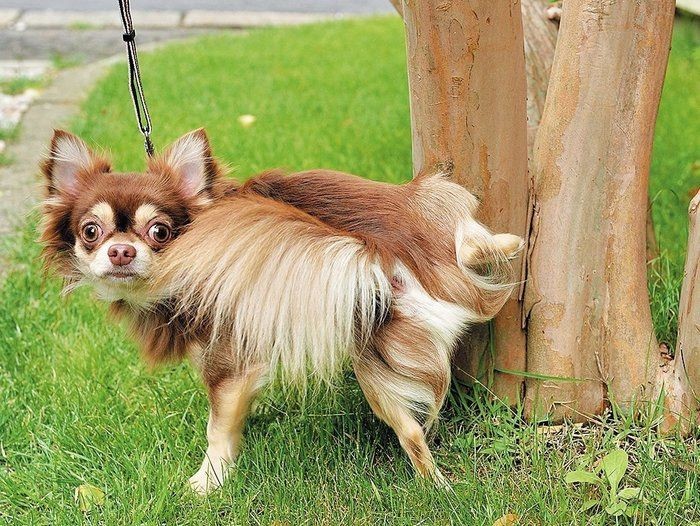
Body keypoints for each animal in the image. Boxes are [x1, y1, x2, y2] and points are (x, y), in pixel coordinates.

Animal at [37, 127, 520, 496]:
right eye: (90, 232)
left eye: (160, 232)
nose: (120, 250)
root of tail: (389, 251)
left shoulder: (225, 359)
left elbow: (218, 428)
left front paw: (207, 483)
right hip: (381, 340)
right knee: (415, 429)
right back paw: (438, 488)